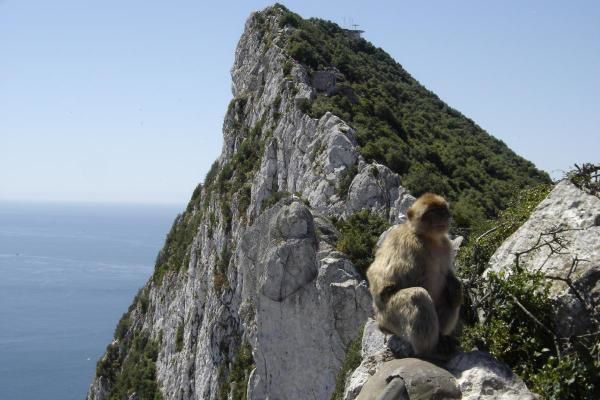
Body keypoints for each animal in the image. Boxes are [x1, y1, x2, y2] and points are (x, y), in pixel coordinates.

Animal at [366, 192, 464, 354]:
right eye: (432, 212)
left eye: (443, 209)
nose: (444, 215)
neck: (429, 238)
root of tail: (381, 322)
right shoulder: (407, 244)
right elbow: (383, 280)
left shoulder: (446, 245)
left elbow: (449, 276)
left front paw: (456, 285)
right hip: (390, 318)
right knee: (417, 296)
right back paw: (429, 350)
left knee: (448, 296)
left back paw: (443, 336)